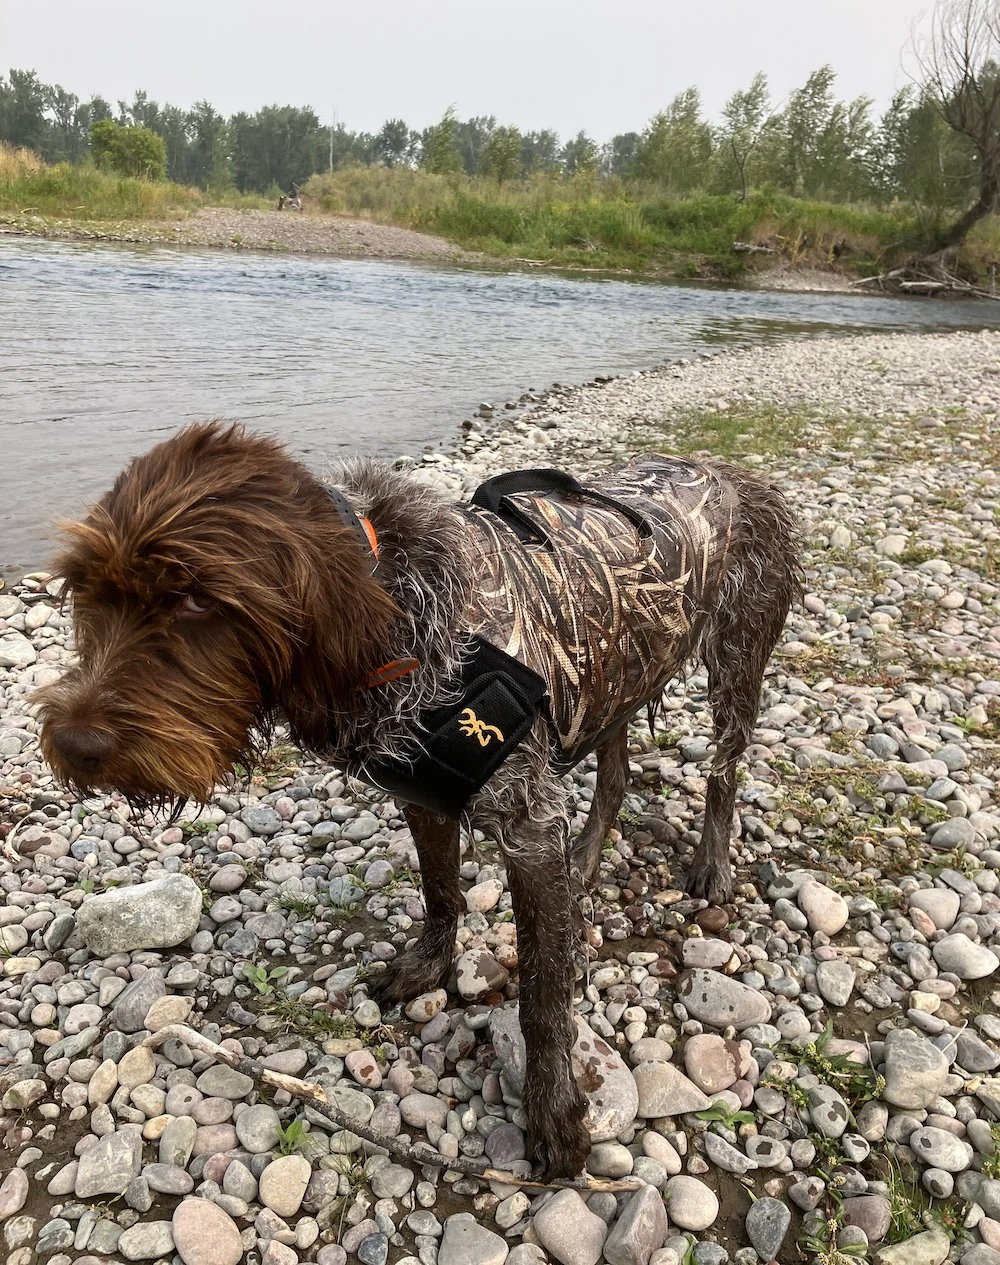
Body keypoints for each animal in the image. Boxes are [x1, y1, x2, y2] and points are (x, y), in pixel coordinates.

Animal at [39, 422, 804, 1173]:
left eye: (196, 597)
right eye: (86, 590)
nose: (74, 744)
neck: (403, 610)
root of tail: (733, 472)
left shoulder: (528, 829)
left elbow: (543, 998)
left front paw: (553, 1110)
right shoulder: (425, 795)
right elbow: (440, 891)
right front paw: (429, 966)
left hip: (735, 661)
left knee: (723, 773)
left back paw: (711, 862)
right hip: (617, 666)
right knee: (614, 771)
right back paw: (589, 854)